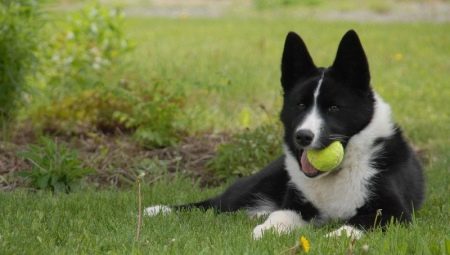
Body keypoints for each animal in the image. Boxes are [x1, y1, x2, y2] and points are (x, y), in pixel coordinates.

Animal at [146, 29, 424, 239]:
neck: (340, 172)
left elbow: (355, 226)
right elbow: (279, 215)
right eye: (300, 105)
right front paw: (265, 230)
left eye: (334, 107)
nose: (303, 137)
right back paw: (158, 210)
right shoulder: (296, 206)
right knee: (214, 204)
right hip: (256, 186)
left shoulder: (393, 212)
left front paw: (335, 238)